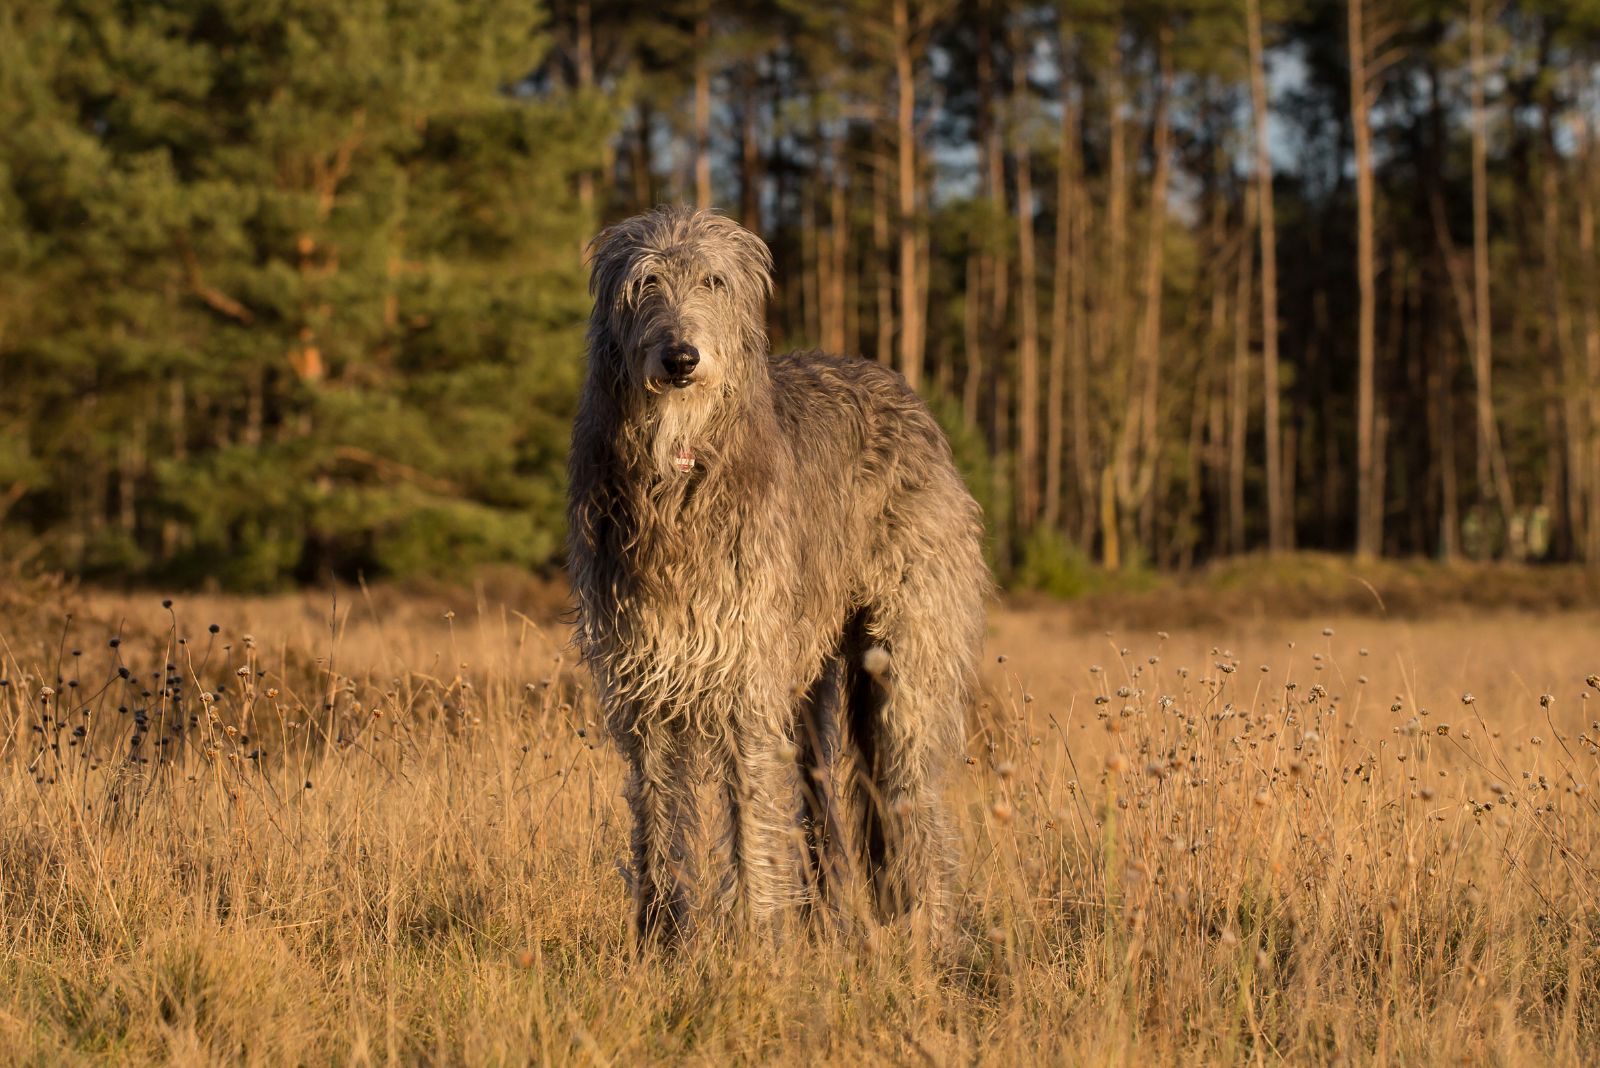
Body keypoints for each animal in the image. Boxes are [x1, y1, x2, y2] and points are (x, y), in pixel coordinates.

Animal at [563, 206, 985, 940]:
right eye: (645, 283)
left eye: (714, 281)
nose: (681, 359)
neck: (680, 475)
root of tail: (902, 390)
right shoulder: (645, 684)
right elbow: (662, 813)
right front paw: (661, 943)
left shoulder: (745, 675)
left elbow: (750, 814)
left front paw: (756, 943)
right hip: (809, 677)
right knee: (817, 798)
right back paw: (824, 924)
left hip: (905, 655)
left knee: (909, 786)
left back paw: (927, 932)